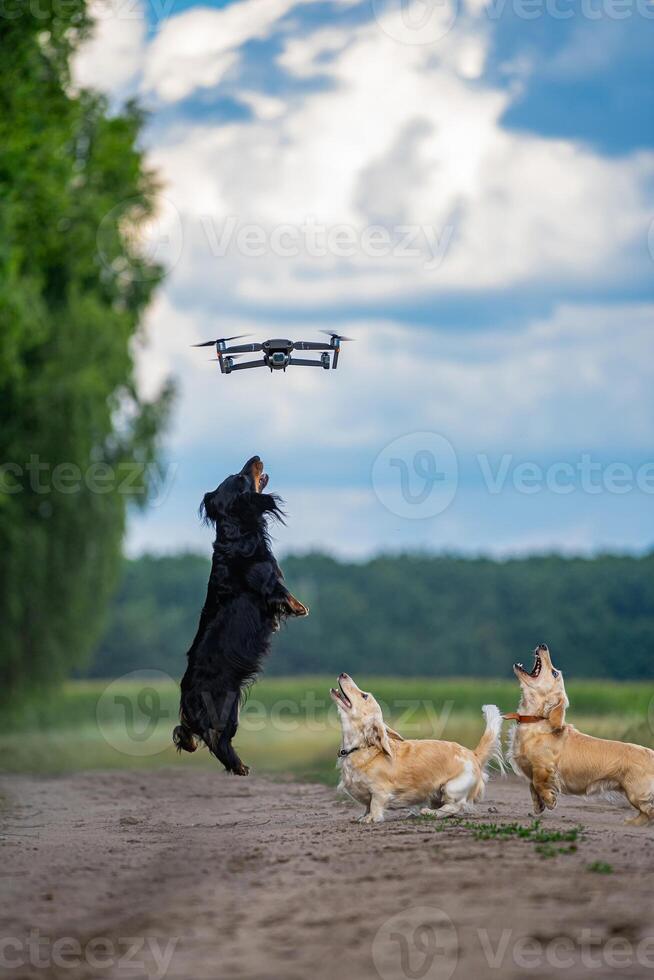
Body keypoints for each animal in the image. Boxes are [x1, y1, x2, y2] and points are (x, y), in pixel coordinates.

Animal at [173, 456, 308, 776]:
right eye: (242, 476)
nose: (255, 457)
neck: (237, 534)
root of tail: (186, 695)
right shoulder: (269, 583)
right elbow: (284, 594)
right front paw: (300, 608)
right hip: (226, 708)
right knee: (216, 740)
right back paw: (239, 766)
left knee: (193, 734)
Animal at [330, 672, 504, 820]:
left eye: (364, 695)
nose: (343, 674)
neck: (360, 747)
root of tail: (473, 755)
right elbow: (367, 806)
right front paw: (362, 816)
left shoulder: (380, 792)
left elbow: (374, 806)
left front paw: (370, 818)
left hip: (451, 788)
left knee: (454, 807)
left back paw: (428, 813)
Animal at [512, 644, 654, 828]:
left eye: (554, 673)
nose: (543, 645)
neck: (536, 721)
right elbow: (532, 786)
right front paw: (538, 806)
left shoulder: (543, 767)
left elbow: (538, 783)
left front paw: (549, 800)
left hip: (636, 793)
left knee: (649, 811)